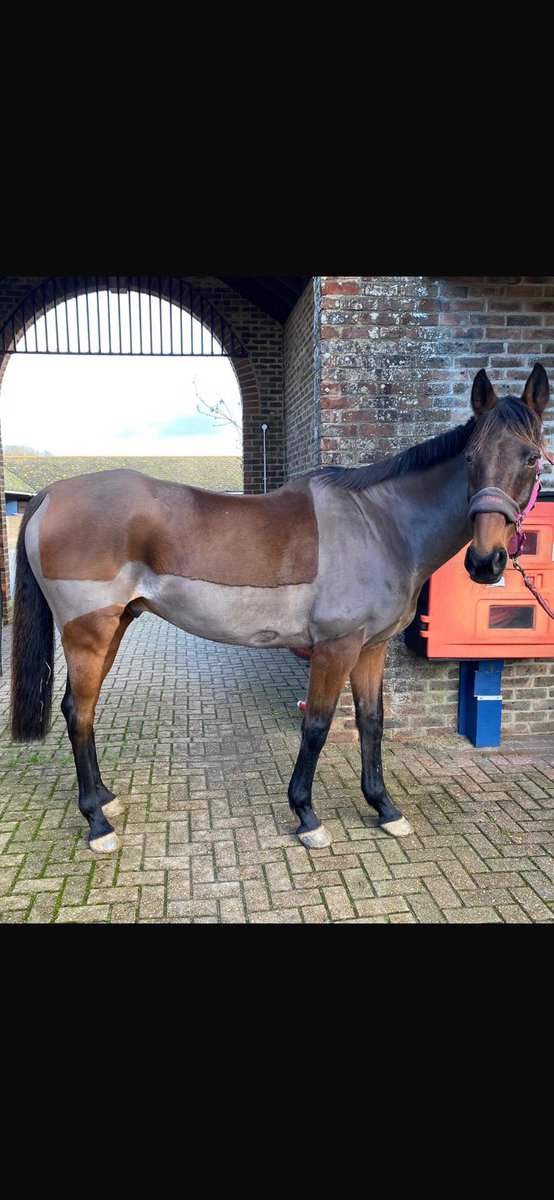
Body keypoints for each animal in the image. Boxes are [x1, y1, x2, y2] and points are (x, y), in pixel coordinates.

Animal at [9, 363, 550, 854]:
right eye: (471, 458)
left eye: (531, 459)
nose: (486, 561)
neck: (381, 525)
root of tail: (51, 493)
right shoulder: (336, 648)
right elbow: (318, 726)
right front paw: (307, 816)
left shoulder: (371, 648)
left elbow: (372, 723)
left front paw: (384, 808)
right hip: (89, 633)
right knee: (78, 712)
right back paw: (98, 824)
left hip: (118, 624)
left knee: (80, 709)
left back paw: (105, 799)